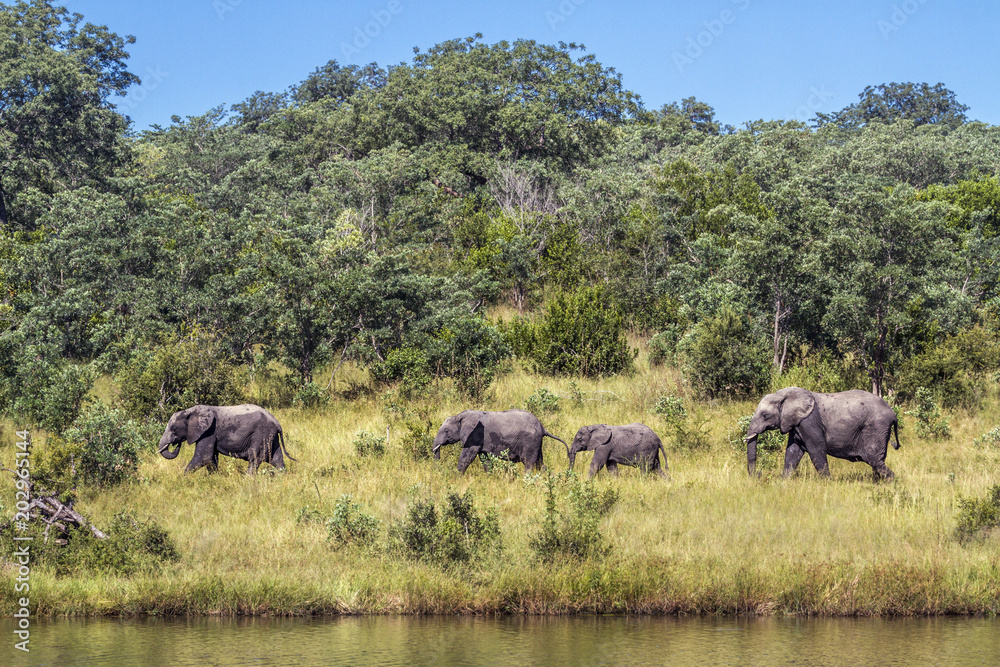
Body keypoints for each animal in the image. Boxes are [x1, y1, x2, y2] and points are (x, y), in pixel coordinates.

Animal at [154, 408, 292, 474]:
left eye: (173, 429)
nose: (176, 442)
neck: (191, 411)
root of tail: (277, 423)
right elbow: (211, 458)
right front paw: (214, 477)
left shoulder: (209, 431)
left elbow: (203, 457)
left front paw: (183, 479)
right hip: (270, 436)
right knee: (276, 459)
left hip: (262, 433)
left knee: (254, 458)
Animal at [432, 408, 572, 474]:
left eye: (446, 431)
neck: (460, 415)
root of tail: (543, 428)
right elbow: (484, 458)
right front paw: (490, 476)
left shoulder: (475, 435)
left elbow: (467, 456)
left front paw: (456, 476)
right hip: (536, 443)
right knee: (540, 462)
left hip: (530, 441)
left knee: (529, 463)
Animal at [748, 388, 904, 482]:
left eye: (765, 415)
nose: (759, 473)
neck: (785, 394)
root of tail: (893, 413)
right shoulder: (795, 423)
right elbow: (793, 452)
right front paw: (784, 482)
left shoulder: (809, 421)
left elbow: (816, 450)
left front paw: (828, 483)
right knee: (877, 461)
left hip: (876, 427)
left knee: (873, 458)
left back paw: (893, 482)